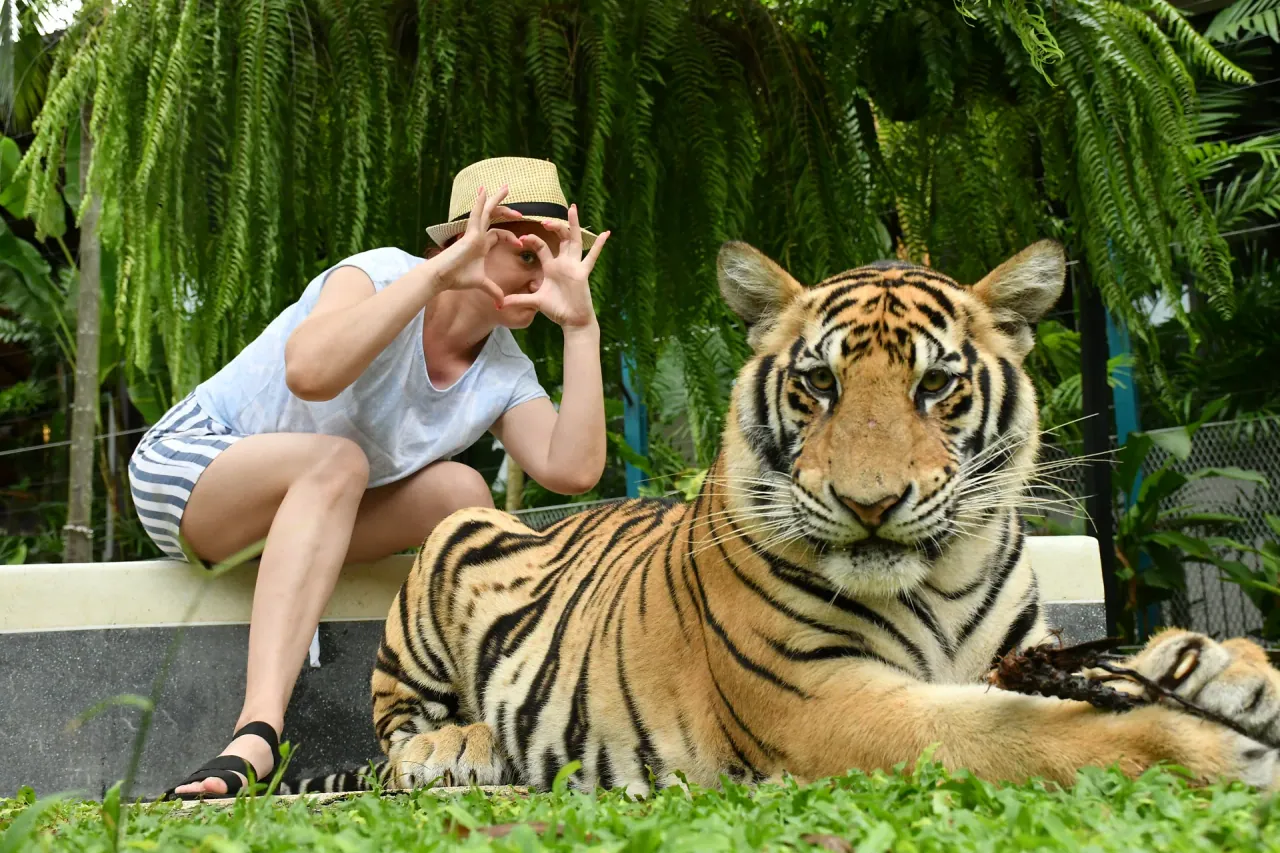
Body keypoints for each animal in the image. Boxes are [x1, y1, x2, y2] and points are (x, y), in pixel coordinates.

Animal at [288, 240, 1280, 796]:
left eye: (936, 384)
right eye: (818, 384)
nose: (870, 503)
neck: (941, 576)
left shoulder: (1024, 650)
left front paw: (1230, 673)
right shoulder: (825, 699)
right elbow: (1017, 733)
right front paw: (1209, 743)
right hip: (454, 541)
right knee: (397, 725)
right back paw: (456, 747)